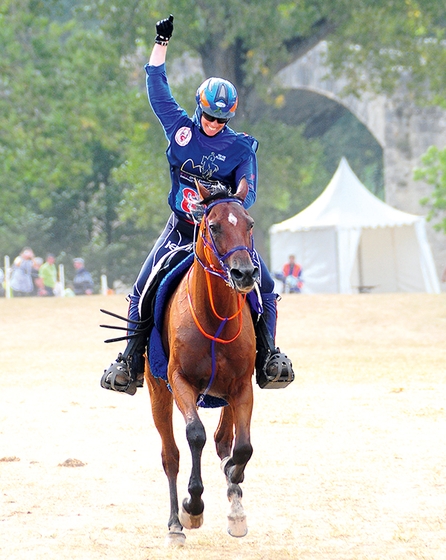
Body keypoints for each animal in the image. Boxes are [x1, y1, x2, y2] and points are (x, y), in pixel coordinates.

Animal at [145, 177, 260, 544]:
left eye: (249, 224)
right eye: (214, 226)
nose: (244, 273)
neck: (215, 317)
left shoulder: (241, 387)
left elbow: (242, 448)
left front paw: (235, 499)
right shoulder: (180, 381)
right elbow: (195, 435)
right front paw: (192, 507)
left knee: (225, 441)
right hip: (157, 392)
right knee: (170, 455)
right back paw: (175, 526)